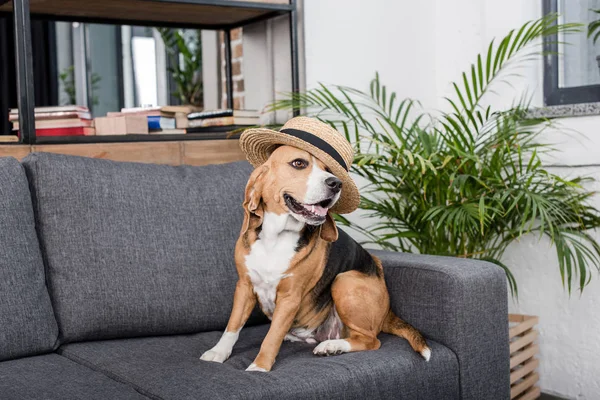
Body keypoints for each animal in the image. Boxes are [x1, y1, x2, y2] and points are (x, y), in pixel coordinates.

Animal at [202, 145, 432, 372]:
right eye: (298, 163)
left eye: (327, 168)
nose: (336, 183)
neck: (276, 237)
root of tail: (388, 311)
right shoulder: (244, 286)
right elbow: (232, 326)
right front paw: (218, 352)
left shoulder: (289, 298)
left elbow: (271, 337)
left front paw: (259, 367)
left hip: (344, 280)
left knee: (370, 340)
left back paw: (331, 346)